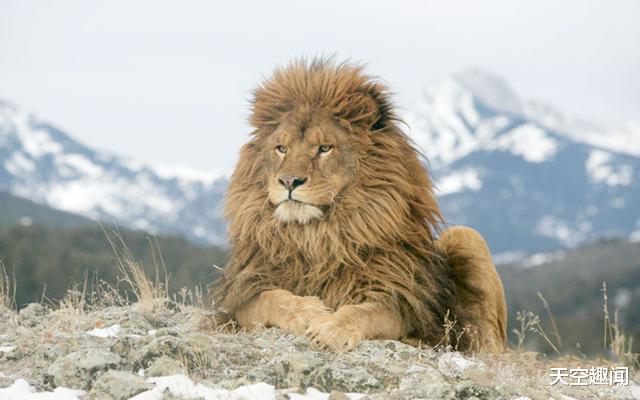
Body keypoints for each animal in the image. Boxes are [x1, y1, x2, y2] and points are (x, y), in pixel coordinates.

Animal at [208, 57, 508, 352]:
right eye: (282, 148)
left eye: (324, 148)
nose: (289, 181)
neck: (316, 236)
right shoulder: (242, 294)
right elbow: (274, 298)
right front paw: (308, 312)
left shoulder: (399, 298)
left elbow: (364, 312)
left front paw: (331, 328)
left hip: (466, 237)